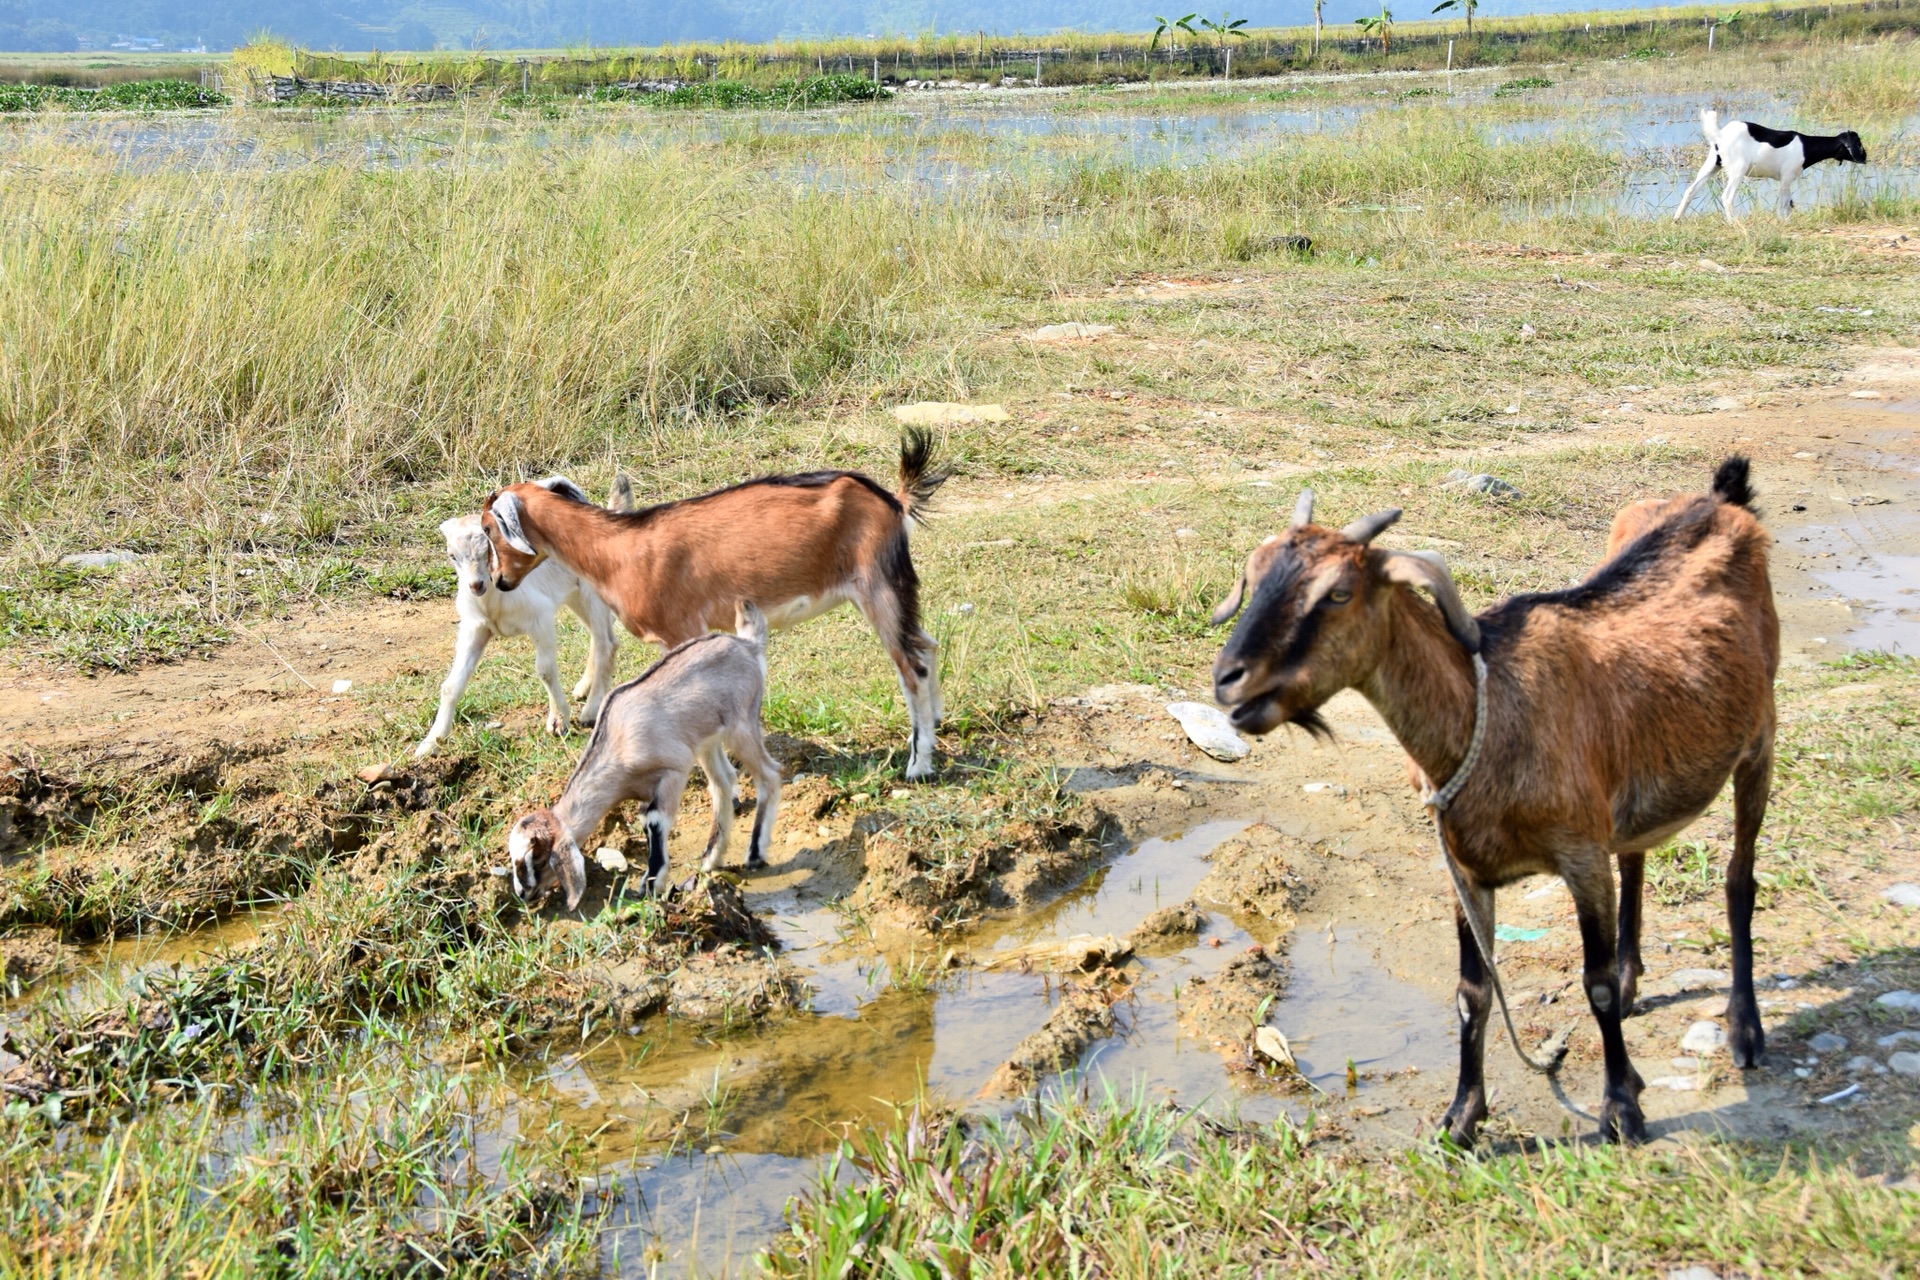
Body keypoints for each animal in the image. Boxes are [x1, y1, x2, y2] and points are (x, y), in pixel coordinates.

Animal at [483, 433, 948, 782]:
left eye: (489, 528)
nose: (499, 580)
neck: (620, 548)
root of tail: (894, 501)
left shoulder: (683, 627)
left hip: (877, 587)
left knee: (911, 667)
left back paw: (918, 765)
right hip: (896, 591)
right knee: (926, 644)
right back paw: (939, 722)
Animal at [1205, 458, 1774, 1143]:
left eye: (1338, 593)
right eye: (1253, 573)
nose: (1228, 680)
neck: (1492, 709)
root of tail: (1721, 499)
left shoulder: (1582, 858)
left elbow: (1594, 984)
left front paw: (1621, 1109)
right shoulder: (1465, 871)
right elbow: (1471, 993)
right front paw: (1462, 1115)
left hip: (1760, 738)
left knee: (1739, 879)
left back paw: (1745, 1030)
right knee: (1637, 855)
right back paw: (1638, 982)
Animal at [1674, 108, 1866, 224]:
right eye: (1858, 143)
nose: (1865, 157)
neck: (1806, 147)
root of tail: (1719, 134)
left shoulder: (1786, 181)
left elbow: (1788, 204)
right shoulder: (1786, 178)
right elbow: (1783, 205)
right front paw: (1783, 222)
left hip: (1712, 165)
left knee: (1691, 190)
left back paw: (1677, 219)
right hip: (1738, 170)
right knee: (1727, 197)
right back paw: (1734, 222)